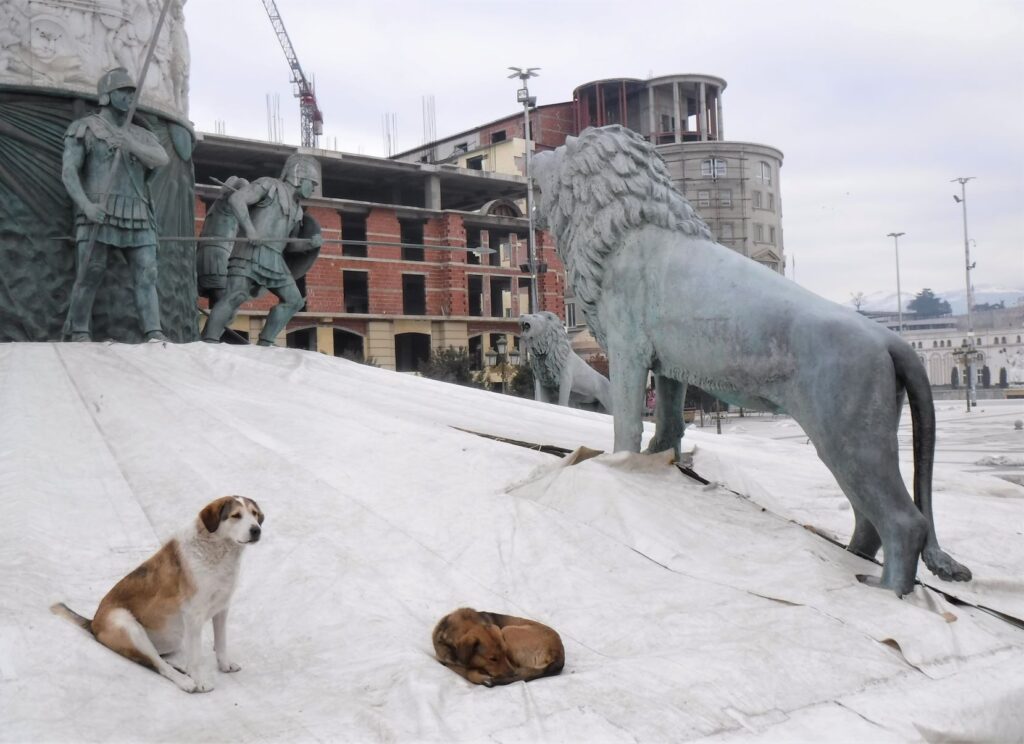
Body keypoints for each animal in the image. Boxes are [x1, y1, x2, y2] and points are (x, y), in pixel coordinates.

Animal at [51, 497, 264, 695]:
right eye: (236, 515)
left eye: (254, 514)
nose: (256, 530)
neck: (217, 551)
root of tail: (93, 622)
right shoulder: (193, 615)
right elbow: (195, 657)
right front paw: (200, 681)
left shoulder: (222, 608)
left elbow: (221, 643)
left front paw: (225, 665)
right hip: (126, 623)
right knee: (156, 664)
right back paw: (185, 680)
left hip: (172, 639)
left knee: (158, 659)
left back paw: (182, 669)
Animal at [430, 609, 565, 687]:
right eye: (493, 659)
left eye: (505, 652)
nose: (513, 674)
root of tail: (559, 654)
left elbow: (467, 672)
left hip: (507, 630)